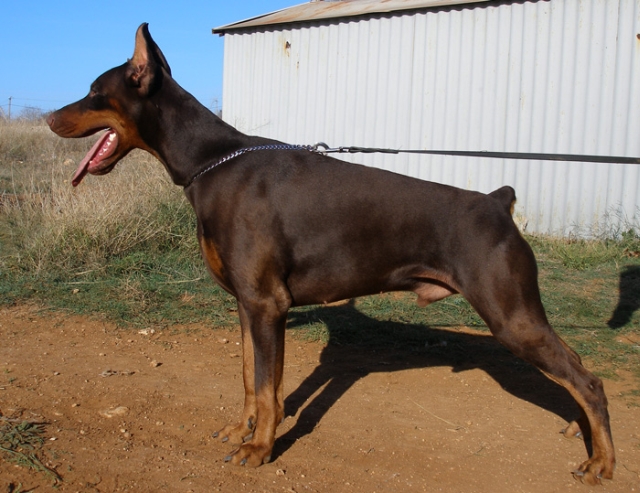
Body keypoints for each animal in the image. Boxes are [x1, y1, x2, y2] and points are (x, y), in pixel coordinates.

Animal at [47, 23, 615, 484]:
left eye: (94, 92)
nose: (50, 117)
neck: (213, 160)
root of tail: (498, 202)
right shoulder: (247, 303)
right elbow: (252, 379)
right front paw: (241, 428)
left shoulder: (267, 304)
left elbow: (270, 389)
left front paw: (260, 448)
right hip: (519, 315)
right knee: (575, 368)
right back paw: (579, 431)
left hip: (511, 315)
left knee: (588, 379)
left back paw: (602, 461)